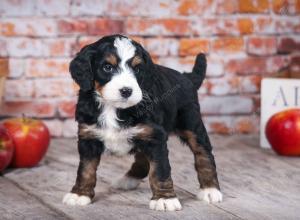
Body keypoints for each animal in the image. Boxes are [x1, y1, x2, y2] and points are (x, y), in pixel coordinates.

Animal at [62, 34, 223, 211]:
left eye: (137, 69)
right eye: (107, 67)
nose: (126, 91)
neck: (113, 108)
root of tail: (186, 77)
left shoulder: (155, 138)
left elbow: (160, 170)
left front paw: (164, 199)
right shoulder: (88, 137)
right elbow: (85, 169)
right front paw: (79, 194)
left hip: (191, 123)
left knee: (203, 153)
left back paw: (210, 189)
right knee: (143, 159)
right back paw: (128, 179)